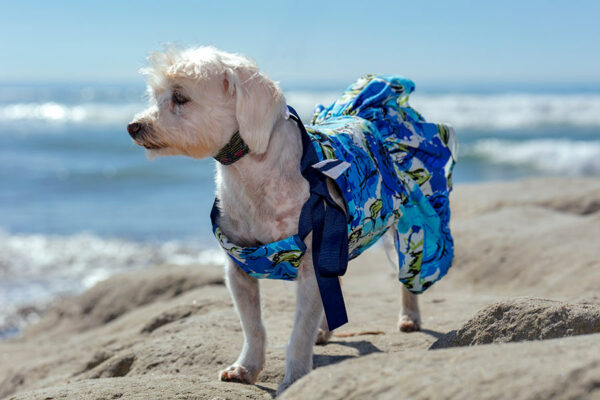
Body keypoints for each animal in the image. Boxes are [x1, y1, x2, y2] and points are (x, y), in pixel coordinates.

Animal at [126, 45, 454, 392]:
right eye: (156, 95)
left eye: (180, 97)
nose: (133, 126)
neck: (253, 168)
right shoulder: (238, 267)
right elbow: (253, 327)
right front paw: (247, 367)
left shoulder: (312, 264)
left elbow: (300, 331)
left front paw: (295, 376)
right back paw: (325, 330)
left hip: (409, 225)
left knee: (407, 274)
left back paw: (410, 317)